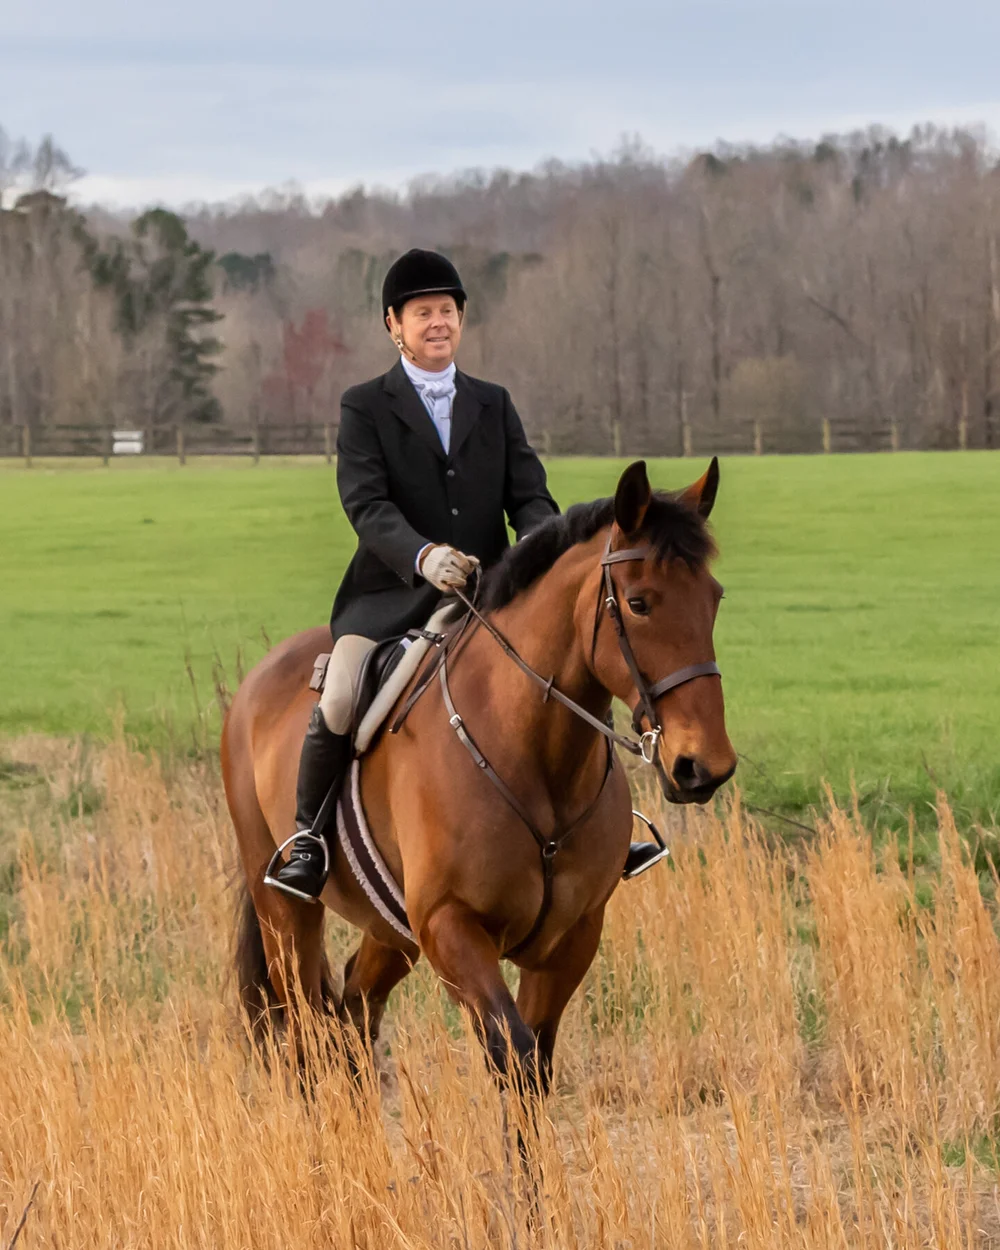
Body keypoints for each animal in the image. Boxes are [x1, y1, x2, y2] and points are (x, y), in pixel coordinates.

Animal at [223, 459, 737, 1096]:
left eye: (714, 598)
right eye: (639, 604)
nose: (704, 766)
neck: (536, 758)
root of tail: (259, 680)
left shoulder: (571, 940)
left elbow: (535, 1068)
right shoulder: (452, 927)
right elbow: (511, 1051)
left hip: (391, 930)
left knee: (354, 1014)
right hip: (285, 912)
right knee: (307, 1033)